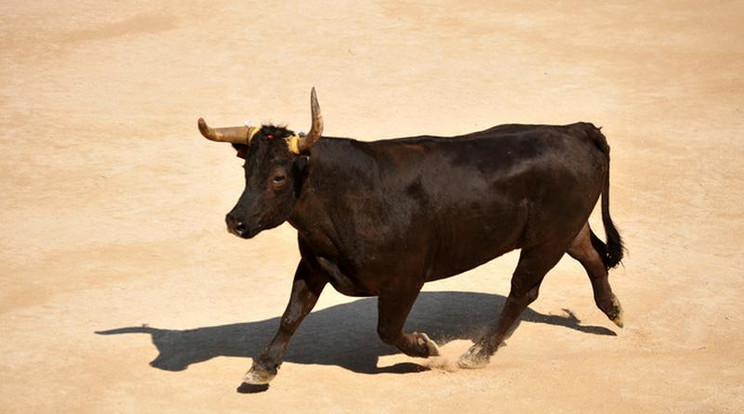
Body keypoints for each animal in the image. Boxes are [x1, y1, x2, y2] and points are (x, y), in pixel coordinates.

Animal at [196, 88, 620, 392]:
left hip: (546, 240)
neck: (343, 194)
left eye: (279, 177)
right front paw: (262, 369)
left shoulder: (404, 281)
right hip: (565, 230)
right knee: (591, 256)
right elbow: (291, 315)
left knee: (523, 290)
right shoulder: (314, 265)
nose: (235, 221)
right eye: (247, 171)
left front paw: (426, 348)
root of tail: (575, 130)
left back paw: (476, 354)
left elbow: (387, 329)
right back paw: (613, 310)